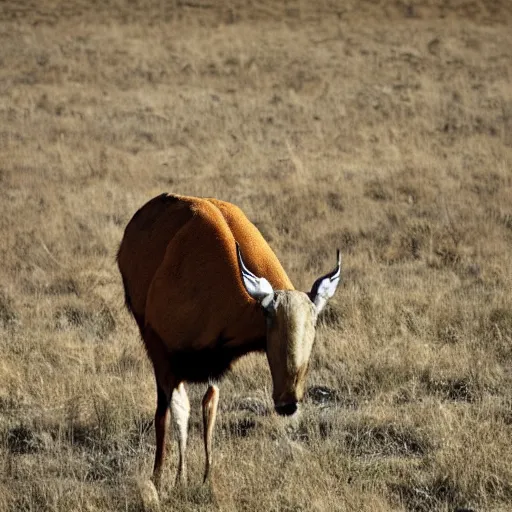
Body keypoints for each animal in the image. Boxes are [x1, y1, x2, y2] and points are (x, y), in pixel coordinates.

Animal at [116, 193, 340, 488]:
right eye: (271, 322)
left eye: (313, 325)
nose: (288, 402)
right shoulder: (165, 356)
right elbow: (179, 411)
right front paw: (175, 479)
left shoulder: (215, 367)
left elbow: (209, 408)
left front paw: (205, 478)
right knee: (163, 410)